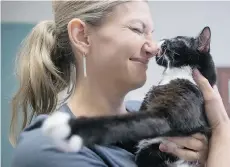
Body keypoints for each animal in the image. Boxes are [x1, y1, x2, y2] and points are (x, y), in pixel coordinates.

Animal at [42, 26, 217, 166]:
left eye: (176, 39)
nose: (161, 40)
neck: (178, 75)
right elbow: (125, 130)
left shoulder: (163, 116)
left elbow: (125, 123)